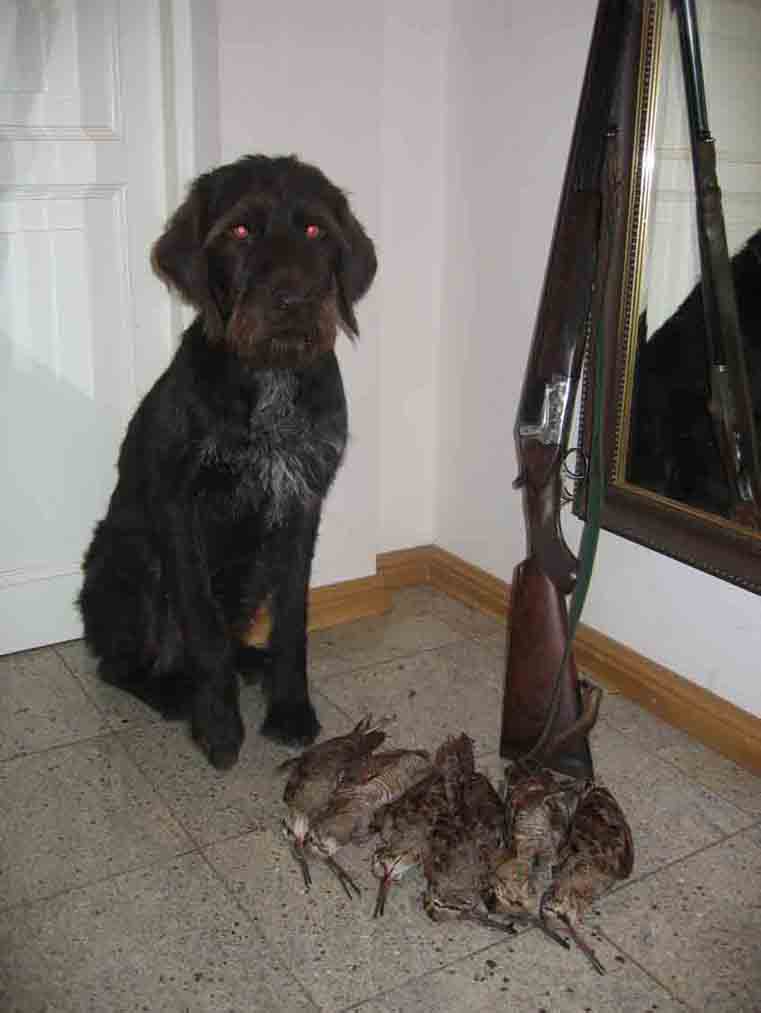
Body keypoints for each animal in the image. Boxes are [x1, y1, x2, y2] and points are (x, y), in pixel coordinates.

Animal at [78, 154, 377, 769]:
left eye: (316, 231)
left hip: (252, 567)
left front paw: (289, 708)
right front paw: (216, 722)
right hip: (133, 558)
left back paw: (249, 664)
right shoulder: (179, 508)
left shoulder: (301, 504)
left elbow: (292, 621)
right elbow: (203, 625)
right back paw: (173, 690)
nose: (292, 300)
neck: (271, 376)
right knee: (121, 664)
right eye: (240, 230)